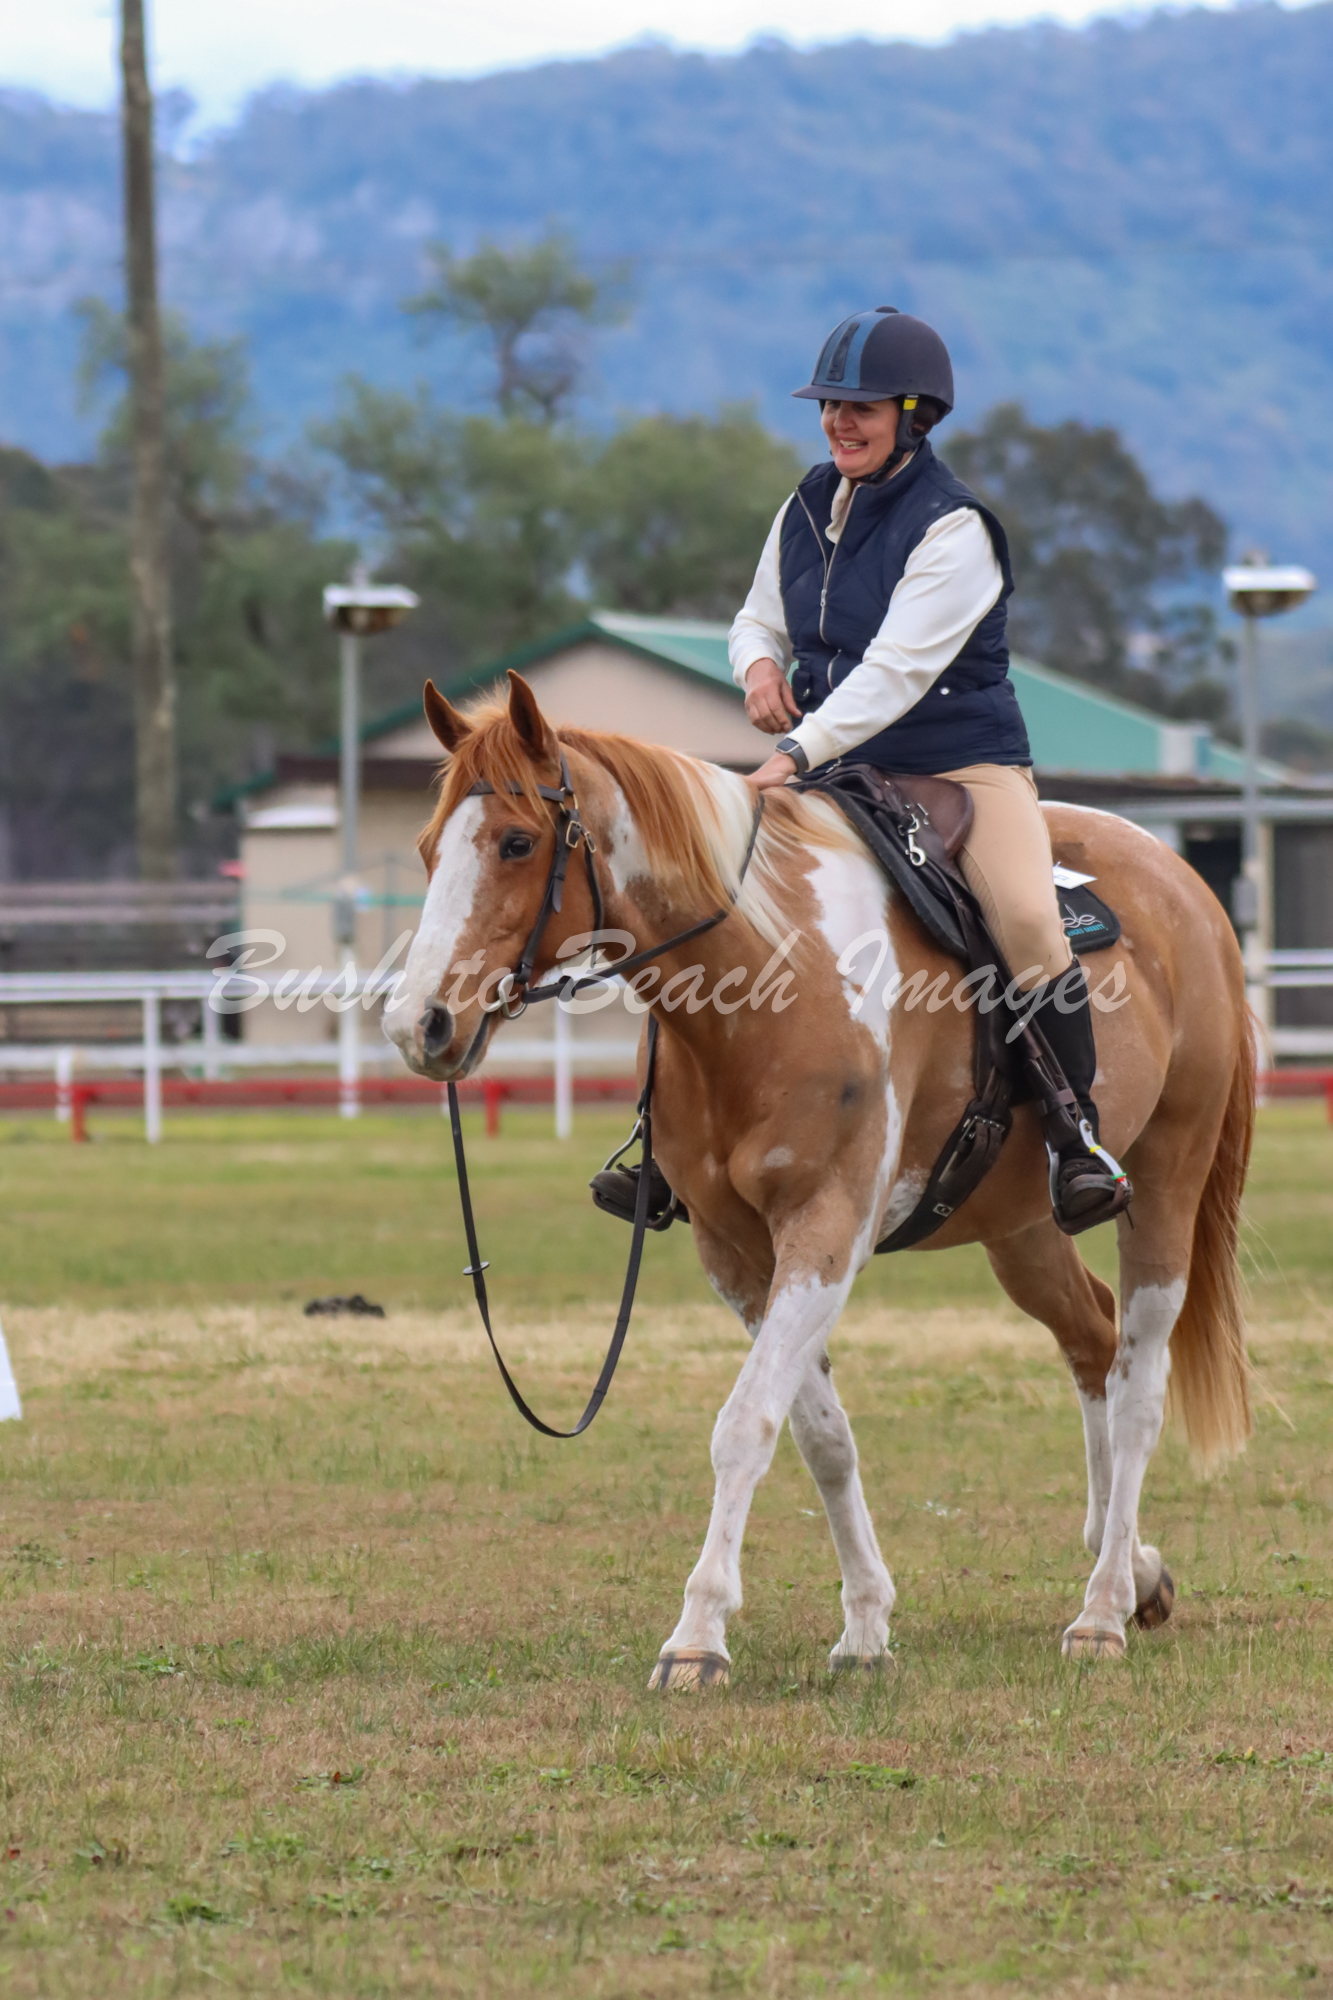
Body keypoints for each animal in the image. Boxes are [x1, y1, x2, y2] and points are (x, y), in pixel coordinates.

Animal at [383, 669, 1253, 1683]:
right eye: (428, 847)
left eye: (516, 842)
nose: (419, 1025)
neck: (769, 971)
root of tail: (1181, 882)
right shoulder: (736, 1254)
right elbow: (818, 1435)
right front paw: (866, 1624)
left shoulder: (824, 1228)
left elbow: (745, 1425)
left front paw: (697, 1635)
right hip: (1021, 1229)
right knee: (1093, 1346)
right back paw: (1135, 1570)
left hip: (1166, 1180)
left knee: (1140, 1381)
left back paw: (1103, 1607)